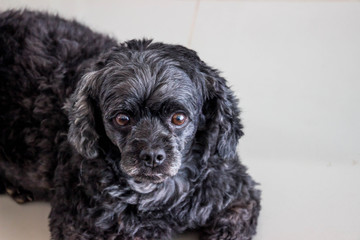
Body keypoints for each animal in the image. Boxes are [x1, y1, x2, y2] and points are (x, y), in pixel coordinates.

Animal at [0, 9, 258, 240]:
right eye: (122, 118)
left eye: (179, 118)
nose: (152, 156)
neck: (160, 195)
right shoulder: (75, 224)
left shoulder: (239, 195)